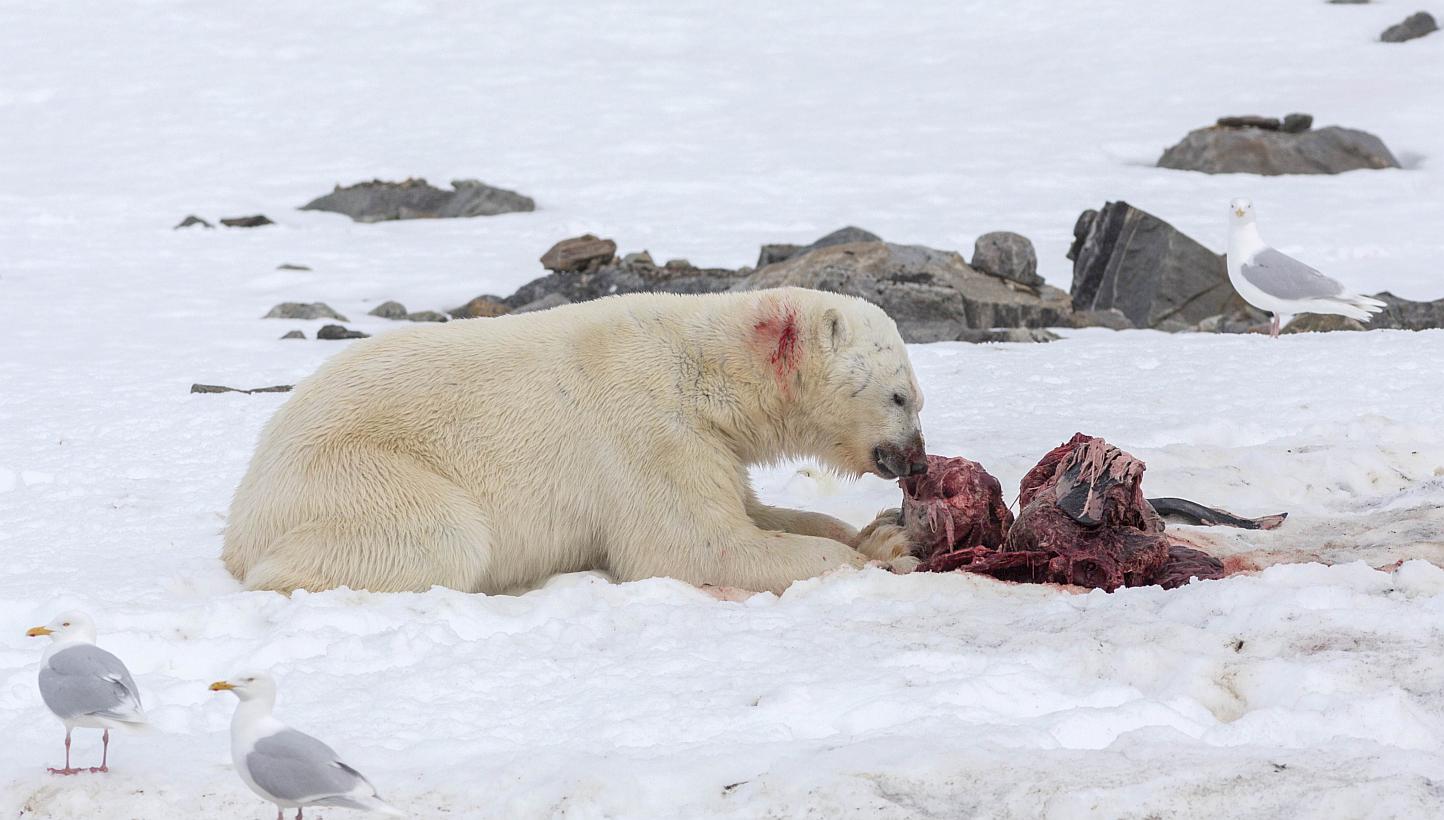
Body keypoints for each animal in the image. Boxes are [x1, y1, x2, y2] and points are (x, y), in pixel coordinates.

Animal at [221, 287, 927, 596]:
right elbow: (693, 545)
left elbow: (752, 510)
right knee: (438, 535)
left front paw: (877, 533)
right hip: (352, 473)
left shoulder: (710, 443)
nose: (916, 459)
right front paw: (886, 558)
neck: (704, 367)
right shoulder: (648, 431)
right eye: (900, 396)